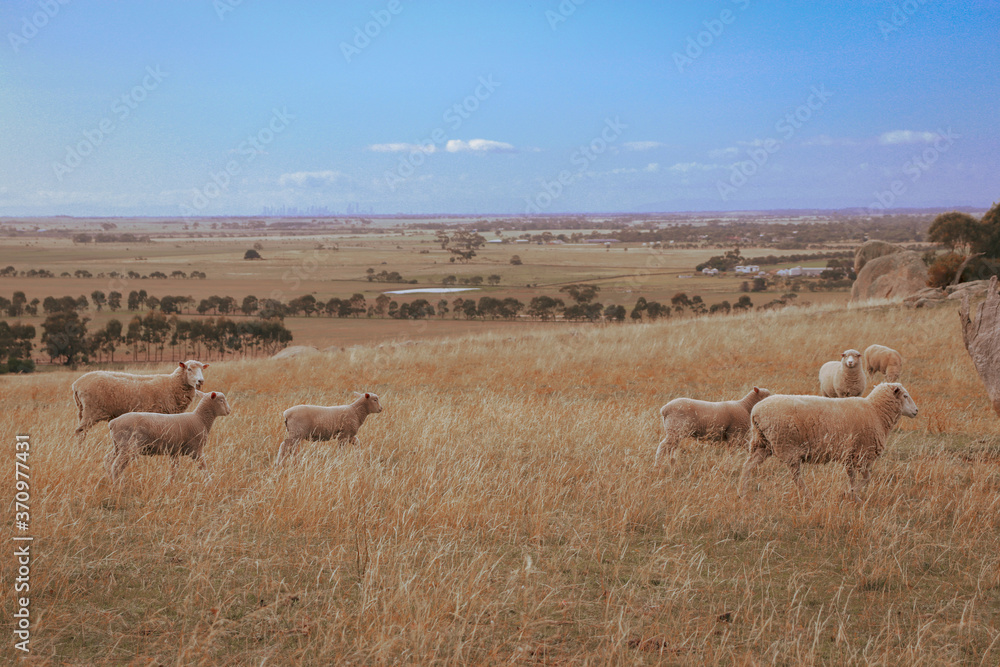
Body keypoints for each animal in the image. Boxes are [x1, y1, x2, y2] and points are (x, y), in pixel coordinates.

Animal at [73, 360, 210, 438]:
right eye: (189, 369)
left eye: (202, 369)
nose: (201, 381)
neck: (172, 384)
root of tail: (77, 383)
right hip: (91, 412)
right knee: (79, 432)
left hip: (81, 411)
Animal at [740, 380, 916, 500]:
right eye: (905, 396)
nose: (916, 410)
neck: (876, 412)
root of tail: (755, 411)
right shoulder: (861, 453)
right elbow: (866, 478)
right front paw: (851, 494)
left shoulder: (850, 454)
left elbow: (852, 477)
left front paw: (852, 495)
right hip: (786, 445)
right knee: (796, 476)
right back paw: (807, 494)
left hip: (762, 444)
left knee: (748, 466)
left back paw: (743, 491)